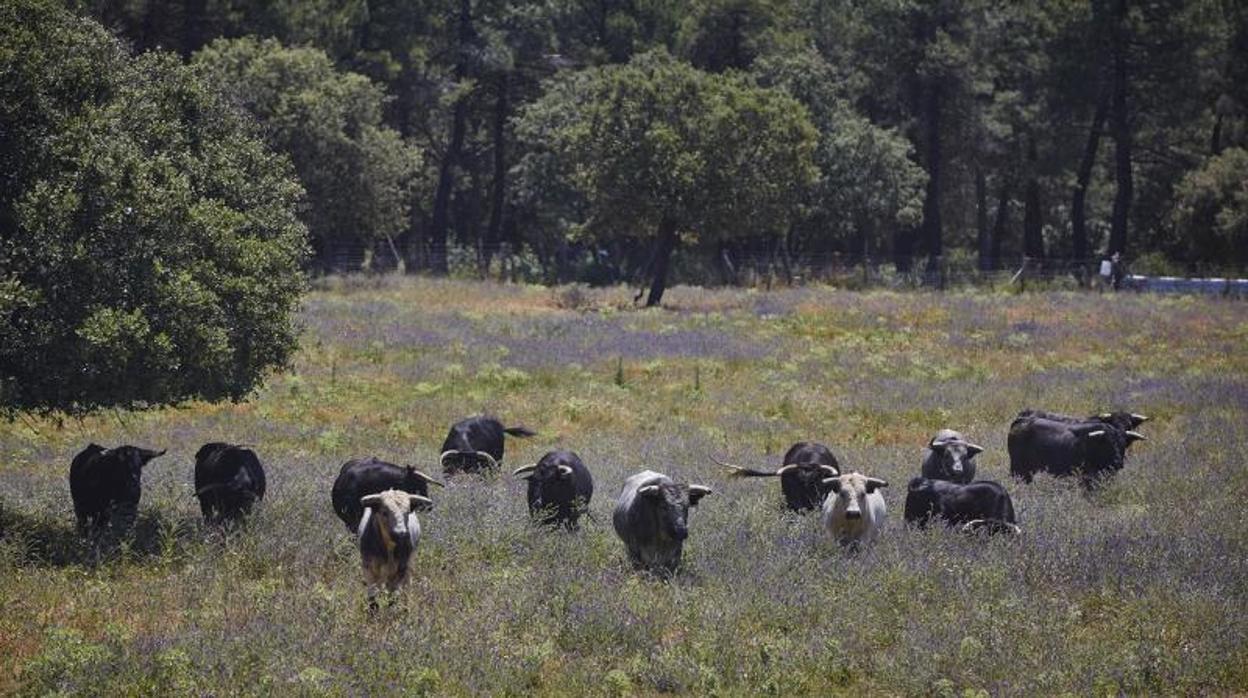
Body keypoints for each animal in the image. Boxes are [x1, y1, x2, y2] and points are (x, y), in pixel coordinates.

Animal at [1008, 412, 1143, 489]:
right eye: (1108, 443)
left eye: (1123, 444)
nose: (1118, 462)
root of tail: (1022, 420)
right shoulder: (1088, 477)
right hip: (1018, 468)